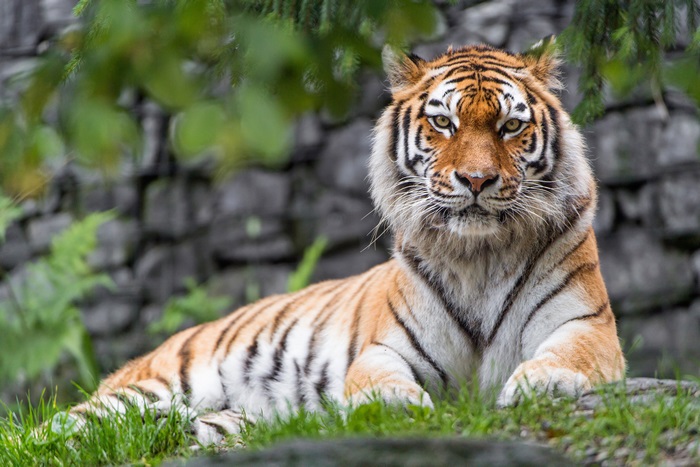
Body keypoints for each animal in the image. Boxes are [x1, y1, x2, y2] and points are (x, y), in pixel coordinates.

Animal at [64, 41, 625, 444]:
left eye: (510, 126)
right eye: (443, 122)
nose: (476, 179)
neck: (479, 257)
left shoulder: (587, 324)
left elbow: (569, 354)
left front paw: (544, 383)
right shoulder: (386, 347)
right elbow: (376, 378)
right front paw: (393, 405)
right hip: (158, 384)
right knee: (67, 424)